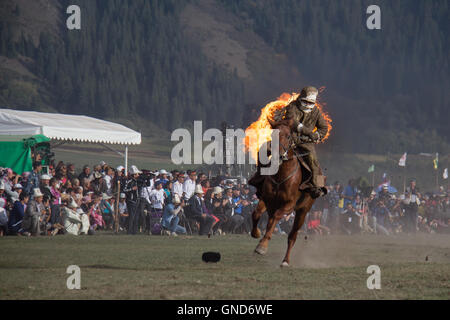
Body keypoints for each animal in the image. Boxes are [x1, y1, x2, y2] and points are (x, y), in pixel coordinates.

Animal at [250, 117, 316, 268]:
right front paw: (256, 234)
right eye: (273, 134)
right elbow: (256, 213)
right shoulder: (267, 200)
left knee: (292, 236)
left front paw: (262, 246)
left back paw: (285, 260)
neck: (281, 176)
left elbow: (276, 218)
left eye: (288, 136)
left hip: (303, 211)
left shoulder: (288, 205)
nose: (278, 156)